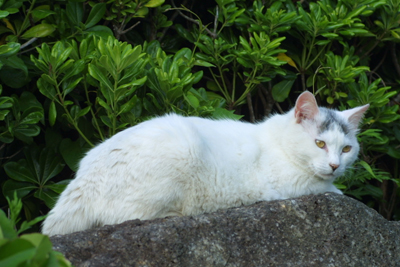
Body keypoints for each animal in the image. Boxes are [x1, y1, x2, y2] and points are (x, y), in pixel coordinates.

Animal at [43, 92, 368, 237]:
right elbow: (324, 188)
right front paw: (338, 191)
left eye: (346, 148)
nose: (335, 165)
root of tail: (82, 180)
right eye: (320, 144)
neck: (277, 142)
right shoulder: (287, 185)